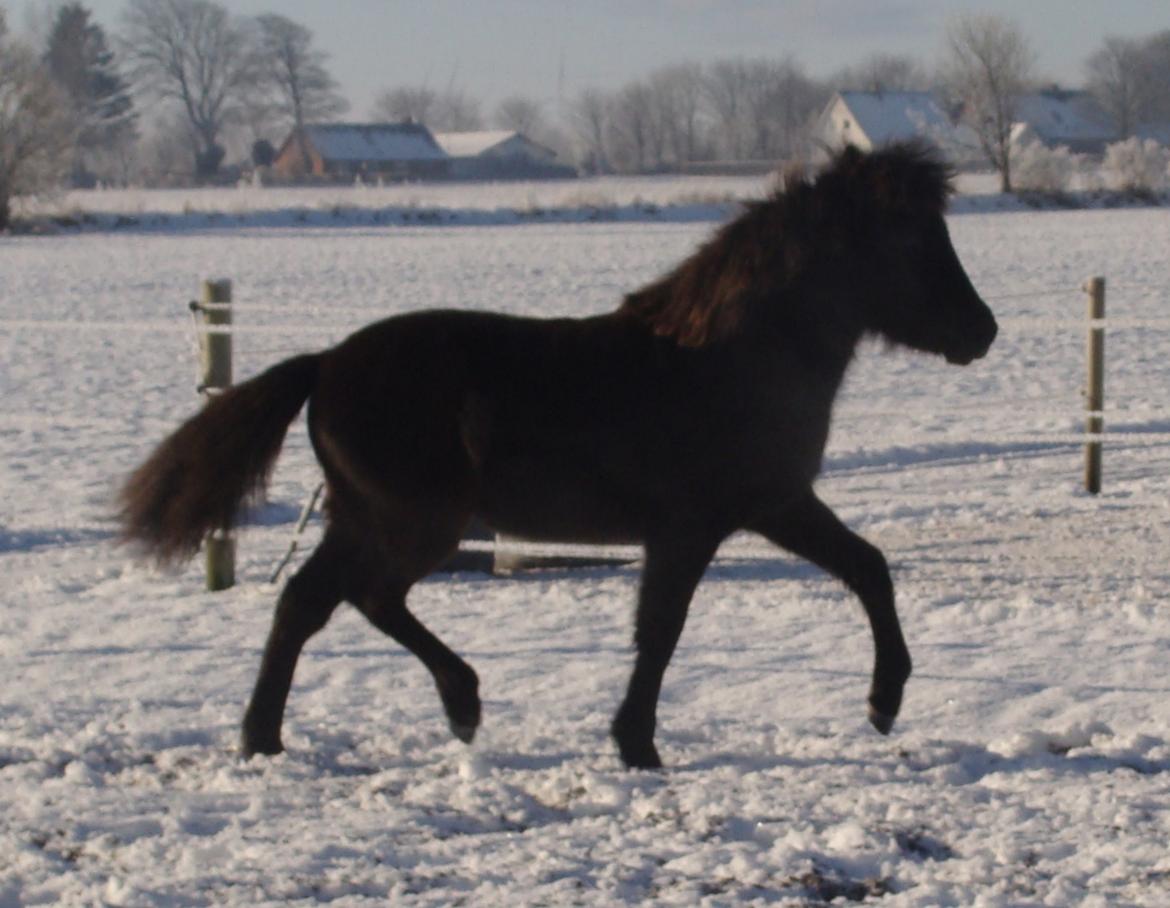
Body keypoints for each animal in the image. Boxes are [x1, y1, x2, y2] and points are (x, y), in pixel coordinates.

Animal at [121, 141, 996, 767]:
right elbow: (662, 629)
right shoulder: (694, 526)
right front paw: (637, 745)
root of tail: (326, 362)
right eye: (912, 241)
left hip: (372, 519)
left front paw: (883, 705)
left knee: (318, 602)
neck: (728, 359)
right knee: (347, 598)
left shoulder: (777, 504)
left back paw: (310, 730)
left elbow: (868, 568)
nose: (982, 331)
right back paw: (425, 707)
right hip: (411, 522)